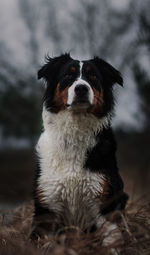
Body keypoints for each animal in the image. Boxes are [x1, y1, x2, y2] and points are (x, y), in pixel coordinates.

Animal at [30, 53, 129, 239]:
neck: (75, 132)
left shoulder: (106, 204)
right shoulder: (47, 206)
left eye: (93, 77)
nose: (81, 88)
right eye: (68, 75)